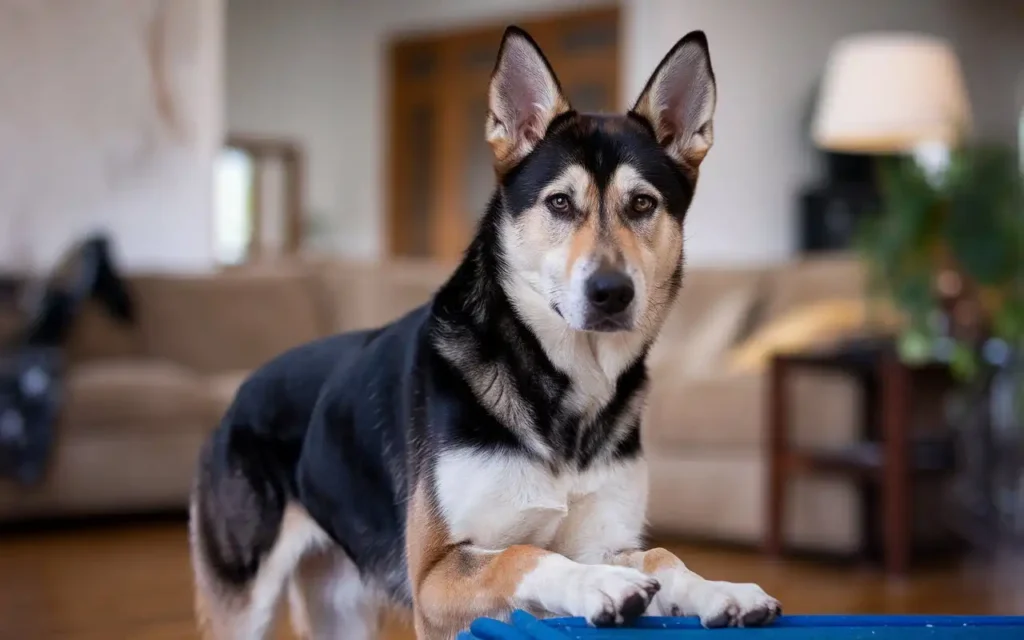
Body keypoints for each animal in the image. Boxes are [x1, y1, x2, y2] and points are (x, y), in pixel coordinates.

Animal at [188, 24, 778, 638]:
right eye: (559, 203)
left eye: (642, 203)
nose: (611, 293)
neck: (563, 388)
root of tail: (242, 392)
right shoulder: (434, 580)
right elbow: (524, 554)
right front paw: (600, 585)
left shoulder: (604, 539)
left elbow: (662, 557)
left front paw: (718, 590)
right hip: (243, 601)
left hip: (340, 608)